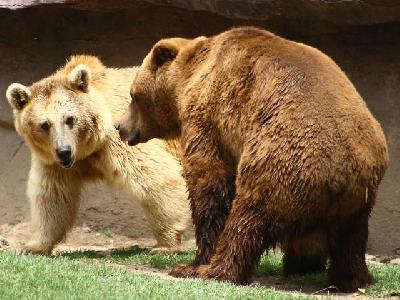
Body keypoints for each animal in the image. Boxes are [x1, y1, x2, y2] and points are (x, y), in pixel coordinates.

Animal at [5, 55, 191, 254]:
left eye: (69, 119)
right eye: (44, 124)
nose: (64, 151)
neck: (88, 149)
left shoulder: (123, 135)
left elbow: (156, 177)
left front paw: (166, 244)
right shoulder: (53, 163)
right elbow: (53, 197)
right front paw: (33, 246)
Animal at [117, 27, 390, 292]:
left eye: (133, 95)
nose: (120, 127)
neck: (188, 80)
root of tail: (341, 175)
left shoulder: (209, 115)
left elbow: (208, 181)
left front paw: (195, 261)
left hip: (278, 162)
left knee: (247, 219)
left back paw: (211, 270)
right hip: (358, 199)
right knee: (351, 240)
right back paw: (345, 277)